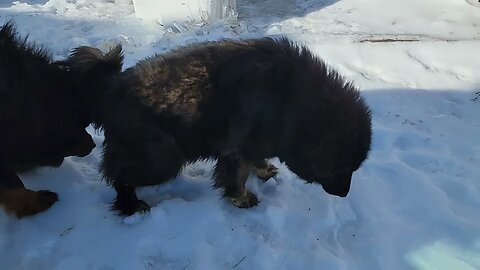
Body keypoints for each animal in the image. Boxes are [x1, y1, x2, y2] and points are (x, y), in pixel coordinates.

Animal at [64, 37, 372, 216]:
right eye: (341, 167)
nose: (344, 193)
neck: (291, 101)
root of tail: (109, 90)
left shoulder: (254, 142)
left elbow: (257, 159)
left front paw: (264, 170)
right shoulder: (236, 149)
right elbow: (235, 177)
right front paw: (241, 199)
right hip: (161, 158)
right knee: (120, 177)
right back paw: (130, 205)